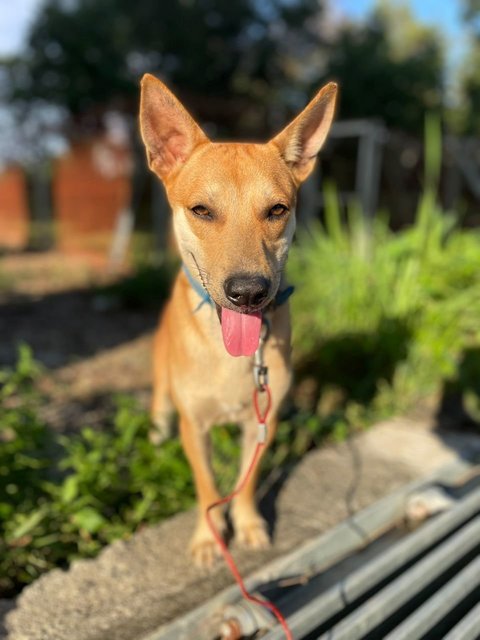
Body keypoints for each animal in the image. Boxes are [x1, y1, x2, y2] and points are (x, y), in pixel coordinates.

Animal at [137, 75, 336, 564]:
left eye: (277, 210)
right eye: (202, 210)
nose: (248, 293)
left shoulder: (263, 421)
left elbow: (245, 482)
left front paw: (247, 525)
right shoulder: (193, 427)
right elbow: (209, 488)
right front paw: (209, 538)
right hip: (163, 402)